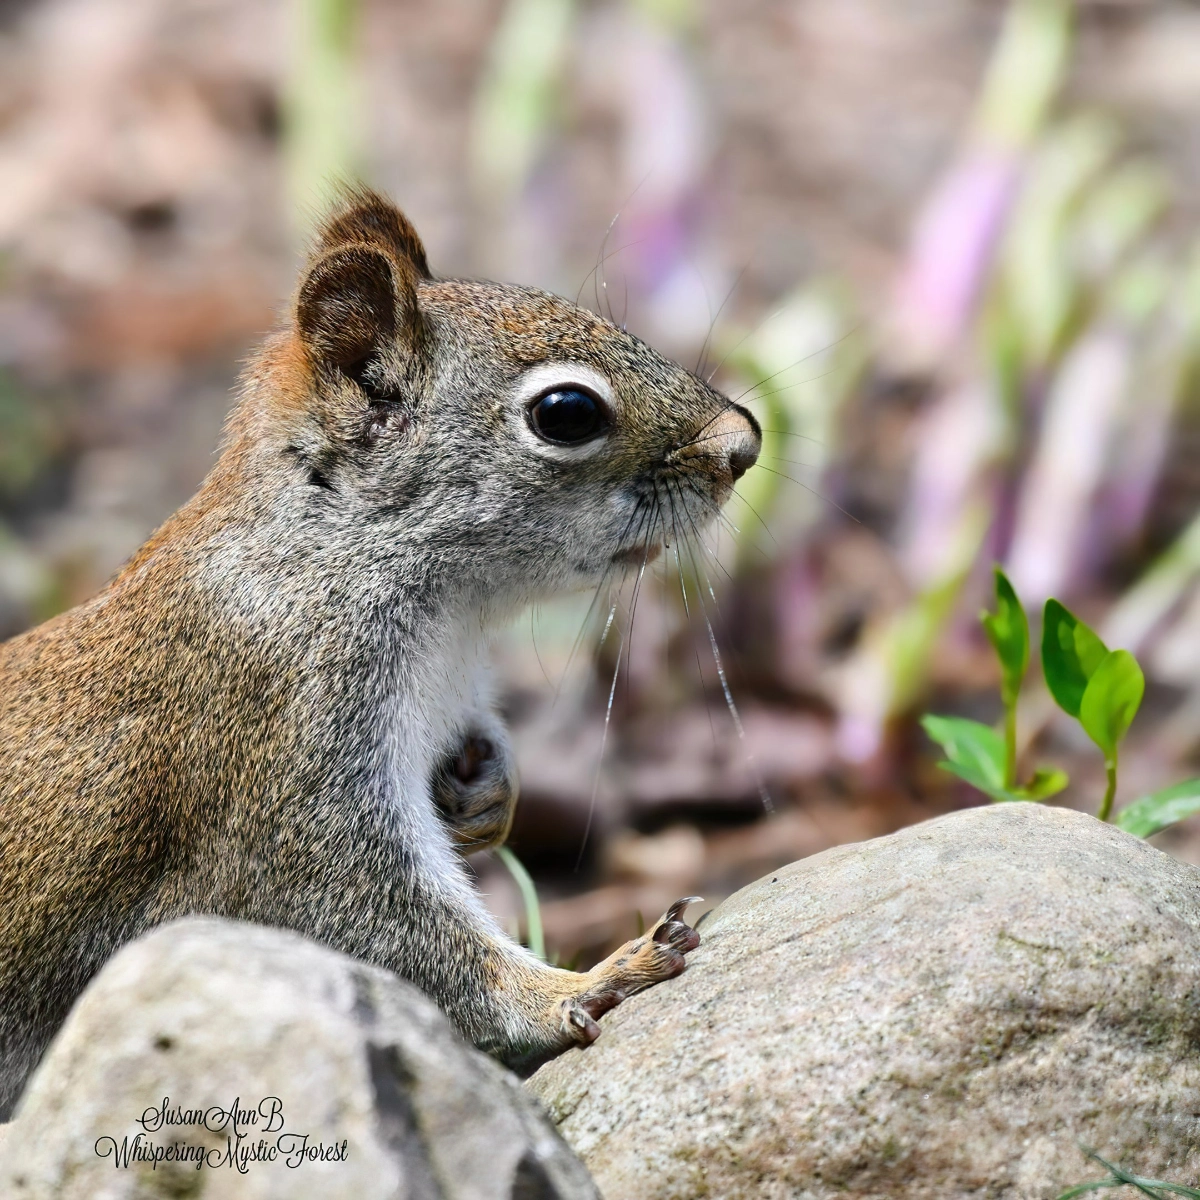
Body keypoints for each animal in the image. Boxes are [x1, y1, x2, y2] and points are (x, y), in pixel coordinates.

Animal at [0, 187, 763, 1113]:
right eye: (567, 413)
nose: (743, 443)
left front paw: (488, 795)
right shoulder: (279, 757)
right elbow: (378, 923)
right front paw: (581, 984)